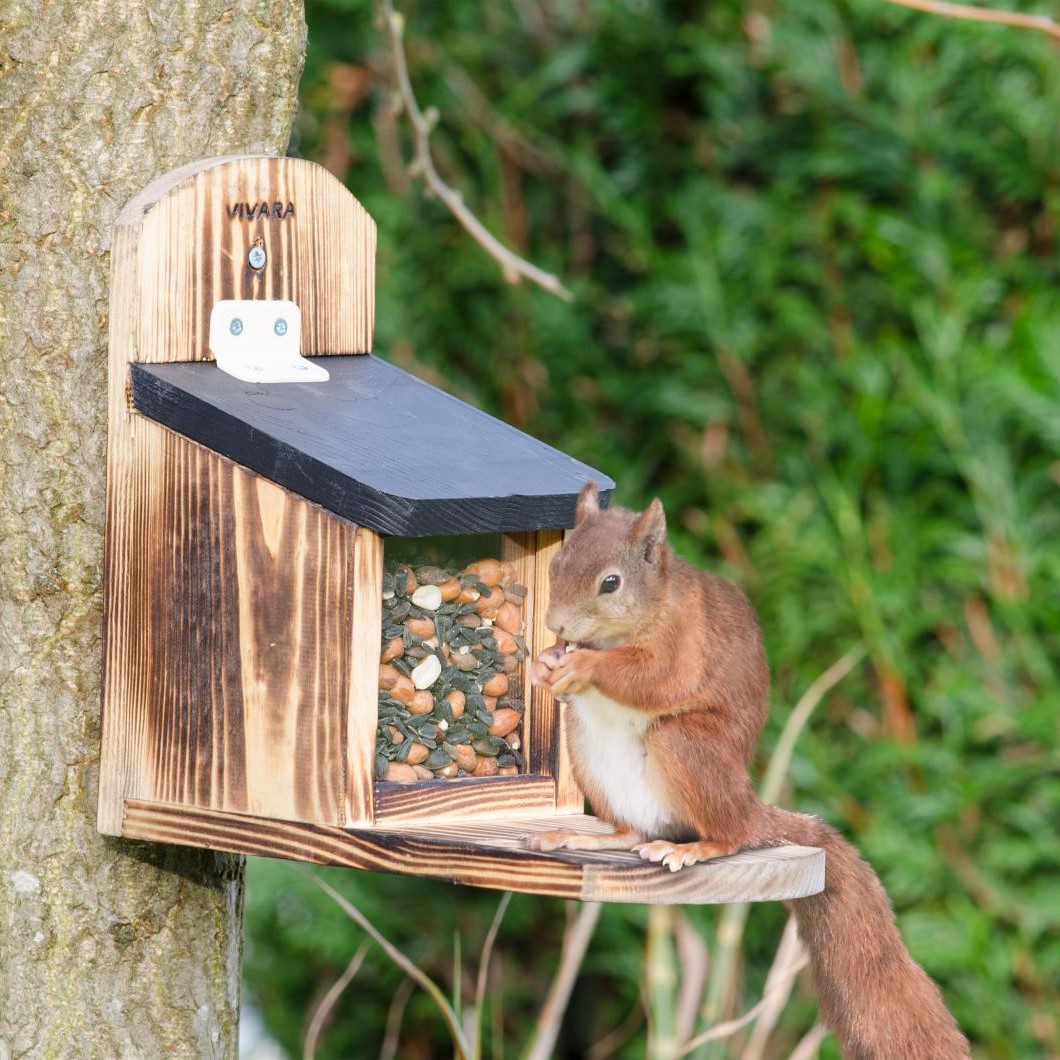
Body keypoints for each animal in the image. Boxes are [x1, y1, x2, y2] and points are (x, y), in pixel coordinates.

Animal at [523, 483, 970, 1060]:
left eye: (611, 583)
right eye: (557, 563)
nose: (555, 625)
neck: (636, 619)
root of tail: (750, 807)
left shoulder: (683, 644)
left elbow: (655, 679)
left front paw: (582, 666)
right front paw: (543, 663)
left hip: (687, 747)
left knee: (729, 834)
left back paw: (695, 848)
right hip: (587, 753)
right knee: (630, 831)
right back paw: (584, 837)